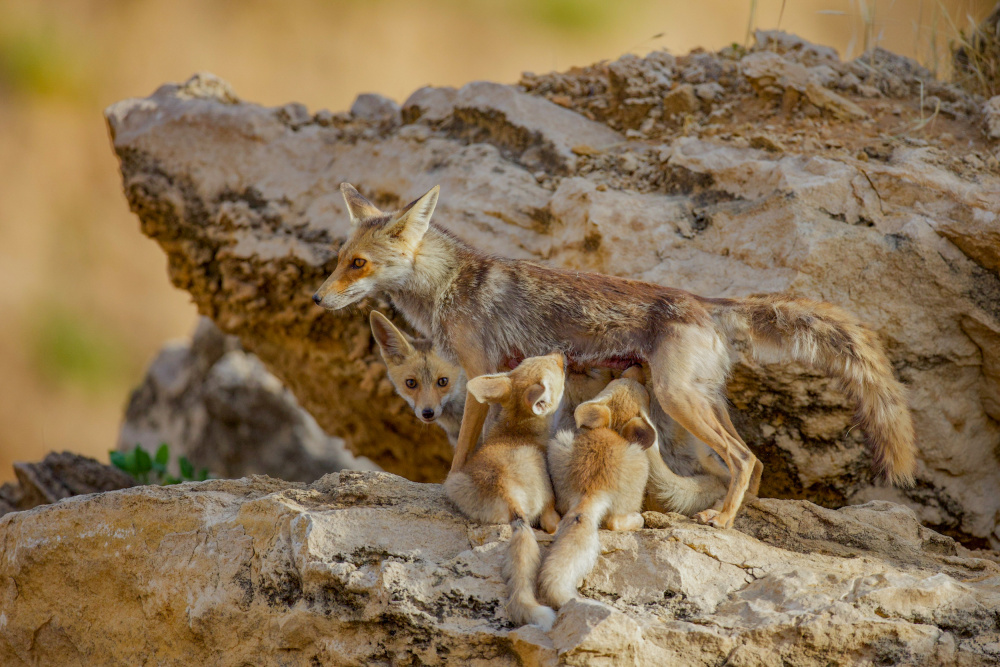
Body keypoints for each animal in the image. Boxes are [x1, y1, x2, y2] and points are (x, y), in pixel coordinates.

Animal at [314, 183, 917, 529]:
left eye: (359, 265)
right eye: (339, 258)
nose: (317, 298)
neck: (446, 286)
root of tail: (705, 301)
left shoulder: (480, 373)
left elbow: (464, 451)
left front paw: (454, 487)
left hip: (676, 399)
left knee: (744, 459)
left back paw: (721, 520)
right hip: (699, 401)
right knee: (756, 461)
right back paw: (736, 514)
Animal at [442, 353, 565, 630]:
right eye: (558, 369)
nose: (560, 355)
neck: (517, 427)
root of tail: (507, 492)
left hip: (454, 483)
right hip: (546, 492)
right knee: (551, 523)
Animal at [540, 365, 655, 608]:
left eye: (616, 379)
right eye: (648, 397)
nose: (637, 367)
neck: (613, 431)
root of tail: (592, 492)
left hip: (559, 444)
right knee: (615, 522)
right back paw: (639, 519)